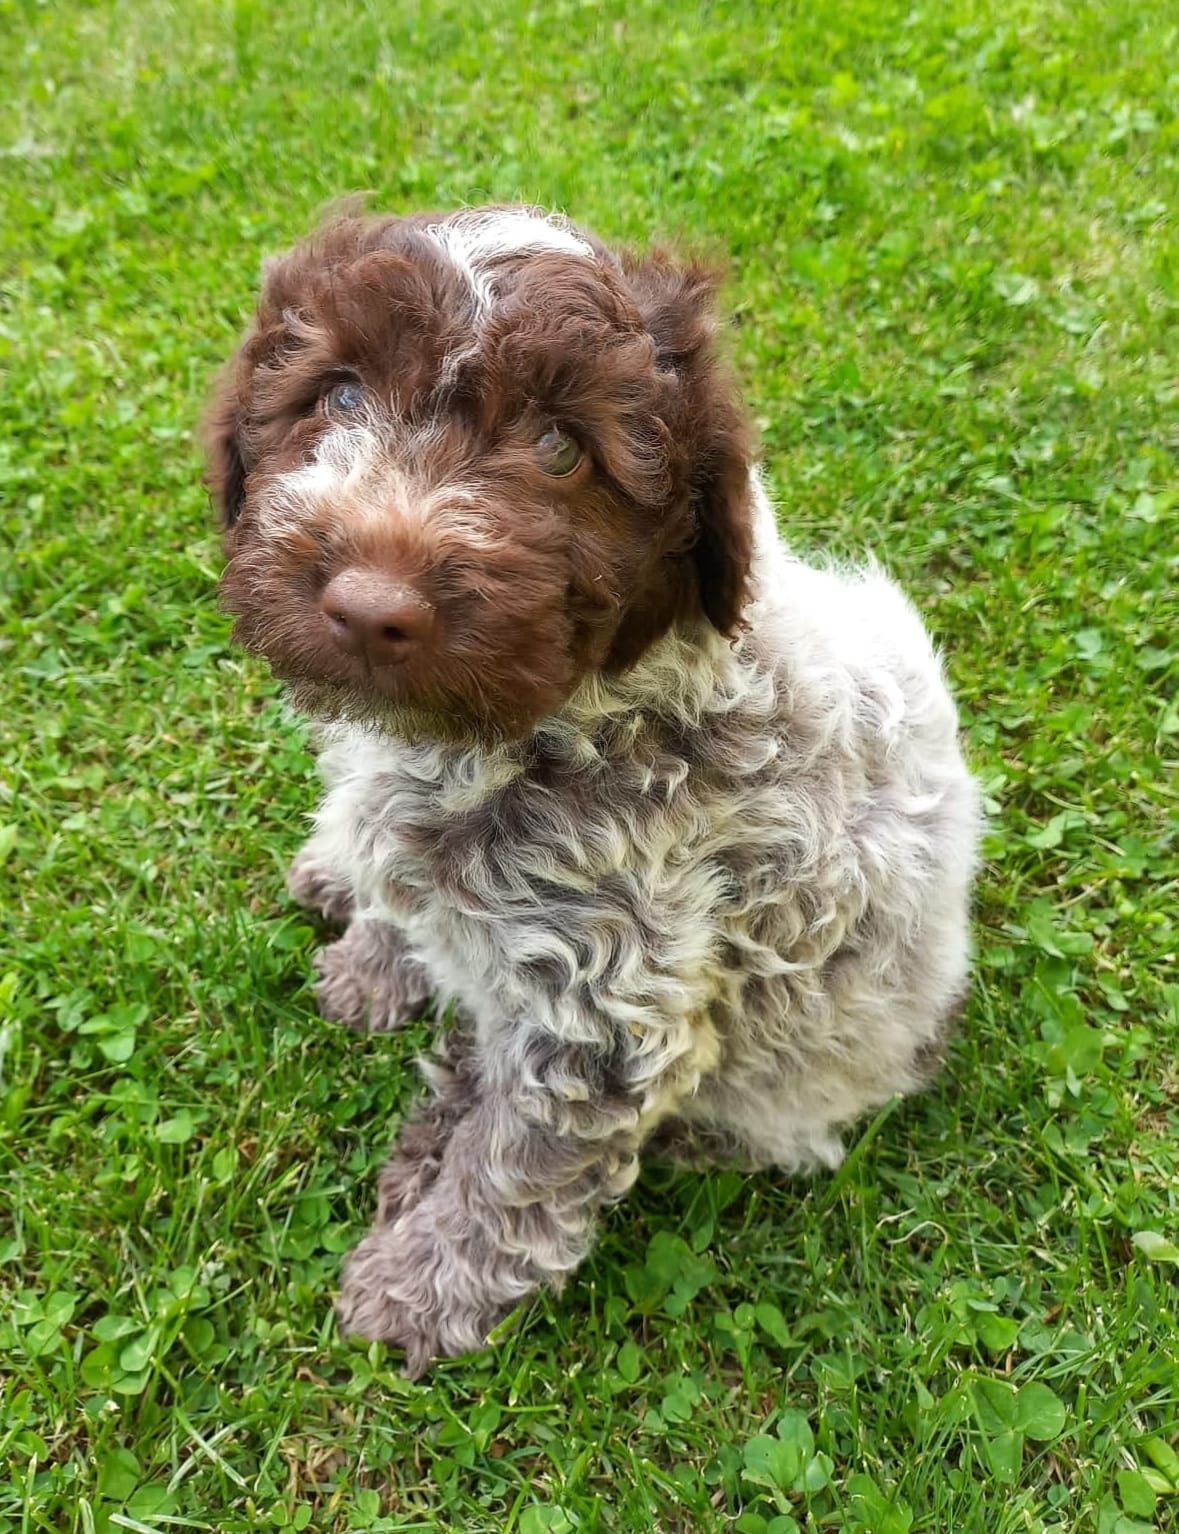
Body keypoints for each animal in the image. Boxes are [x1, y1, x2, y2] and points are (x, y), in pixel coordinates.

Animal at [202, 207, 975, 1380]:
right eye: (337, 397)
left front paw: (420, 1289)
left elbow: (514, 1171)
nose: (370, 608)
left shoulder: (608, 1010)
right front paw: (376, 953)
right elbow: (398, 880)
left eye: (562, 450)